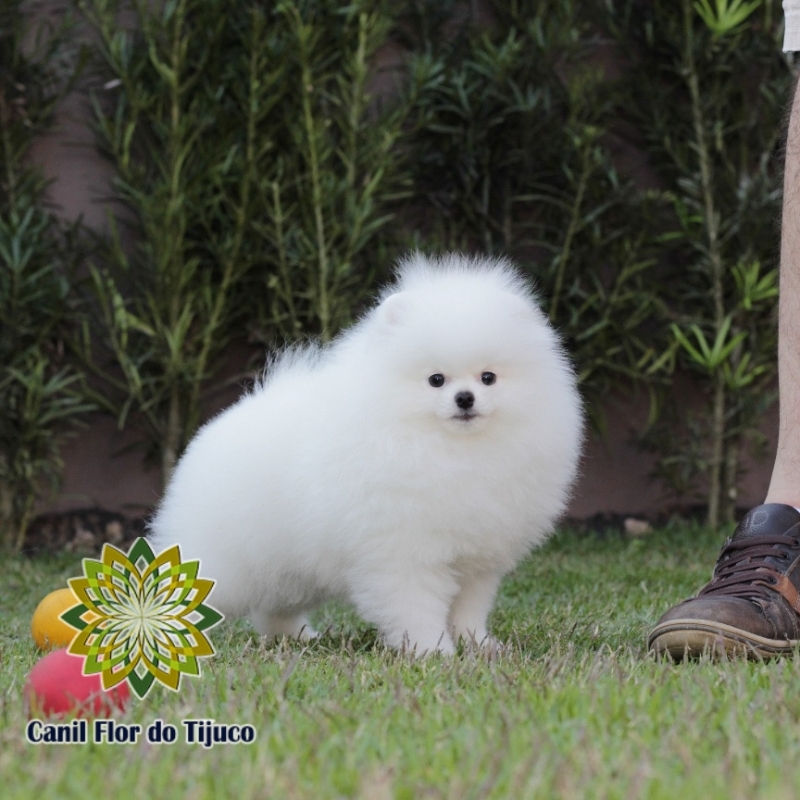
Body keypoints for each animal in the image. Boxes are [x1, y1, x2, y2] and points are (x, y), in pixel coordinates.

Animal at [148, 253, 580, 652]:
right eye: (435, 380)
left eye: (488, 377)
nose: (465, 398)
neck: (449, 450)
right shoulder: (403, 552)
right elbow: (417, 608)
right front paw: (432, 651)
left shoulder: (476, 560)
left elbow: (469, 608)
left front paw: (478, 645)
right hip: (226, 562)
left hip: (288, 570)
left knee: (274, 607)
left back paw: (296, 637)